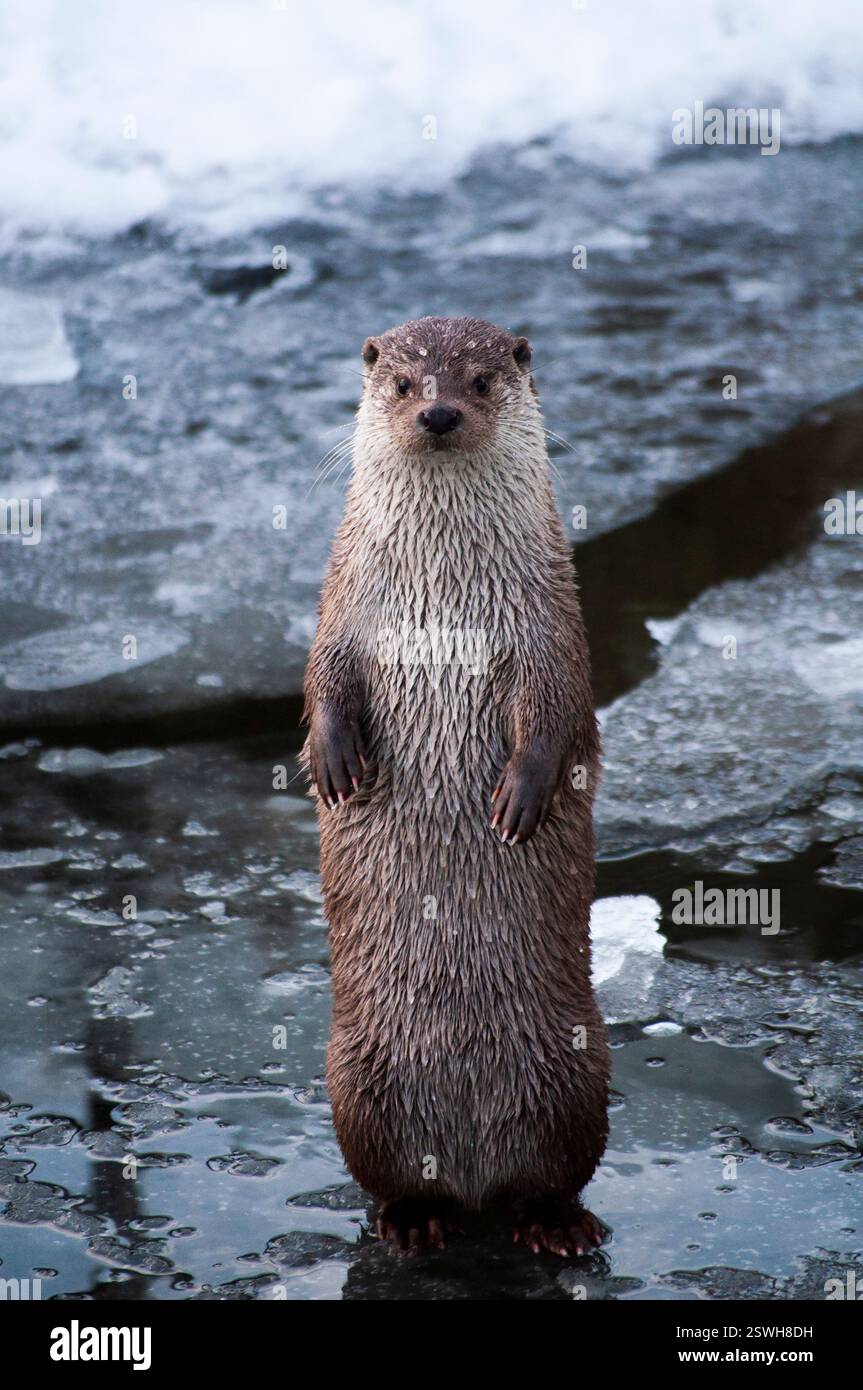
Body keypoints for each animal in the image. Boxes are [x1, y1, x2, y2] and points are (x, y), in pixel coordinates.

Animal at [303, 316, 608, 1256]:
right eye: (404, 383)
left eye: (476, 380)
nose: (437, 413)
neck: (443, 610)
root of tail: (473, 1173)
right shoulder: (342, 603)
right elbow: (322, 677)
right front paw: (334, 761)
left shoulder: (549, 623)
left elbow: (555, 710)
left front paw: (521, 795)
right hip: (352, 1081)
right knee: (391, 1178)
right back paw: (415, 1220)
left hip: (581, 1069)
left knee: (554, 1174)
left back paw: (552, 1222)